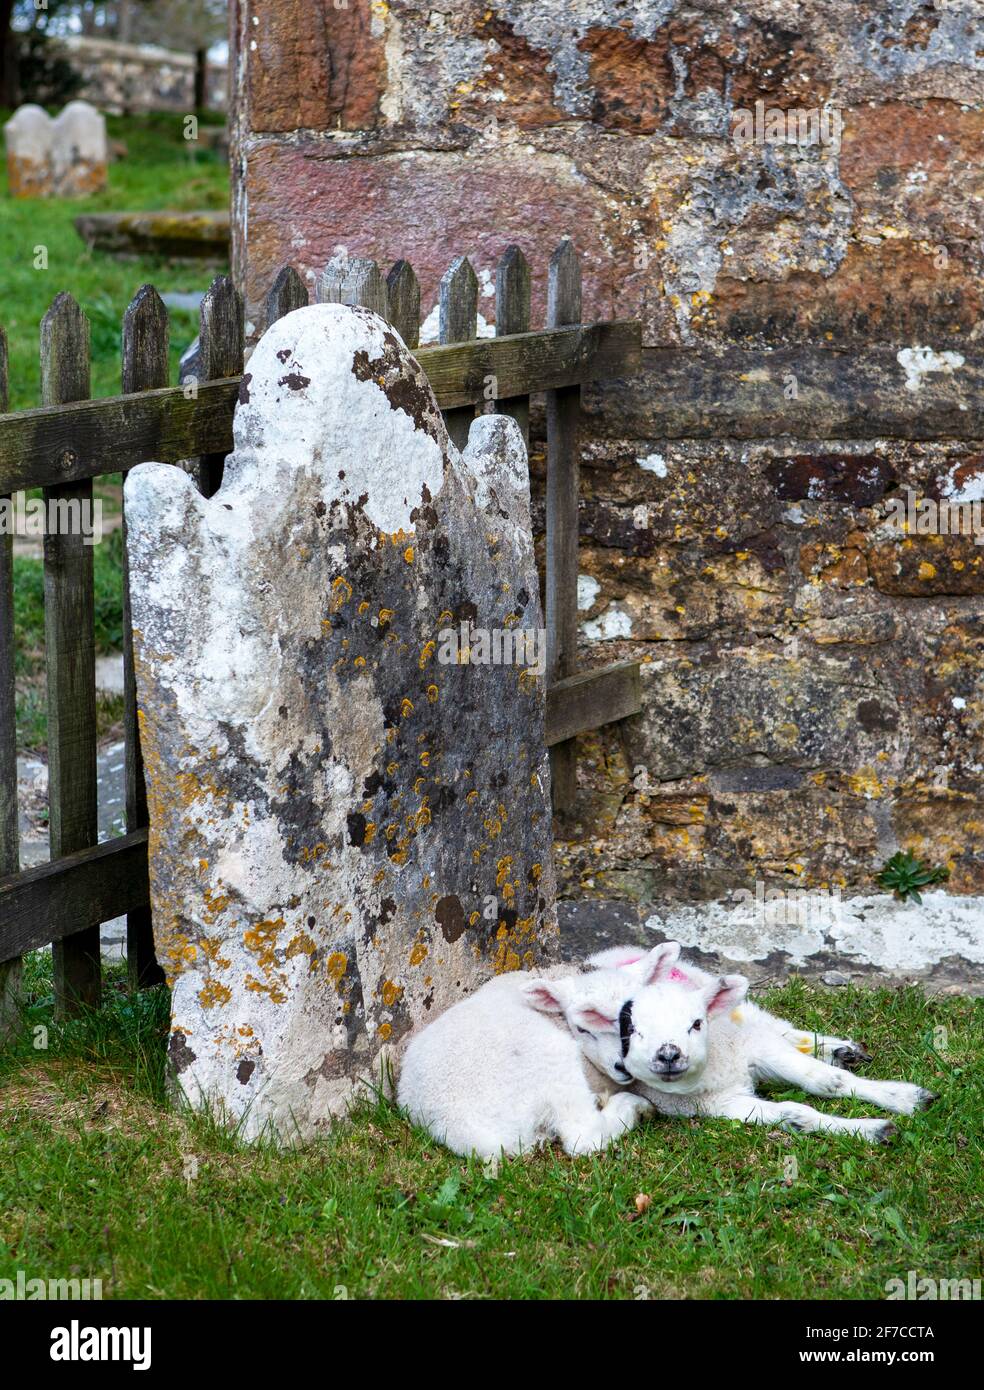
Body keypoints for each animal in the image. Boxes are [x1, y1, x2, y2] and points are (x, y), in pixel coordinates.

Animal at [394, 961, 650, 1156]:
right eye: (583, 1028)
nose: (624, 1066)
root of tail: (458, 1126)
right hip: (552, 1062)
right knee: (584, 1137)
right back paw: (634, 1106)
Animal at [603, 939, 933, 1145]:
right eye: (632, 1030)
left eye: (697, 1023)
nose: (669, 1055)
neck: (715, 1066)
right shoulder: (717, 1103)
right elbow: (797, 1113)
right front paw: (873, 1130)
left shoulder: (758, 1049)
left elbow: (829, 1081)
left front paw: (905, 1098)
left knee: (772, 1025)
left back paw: (839, 1050)